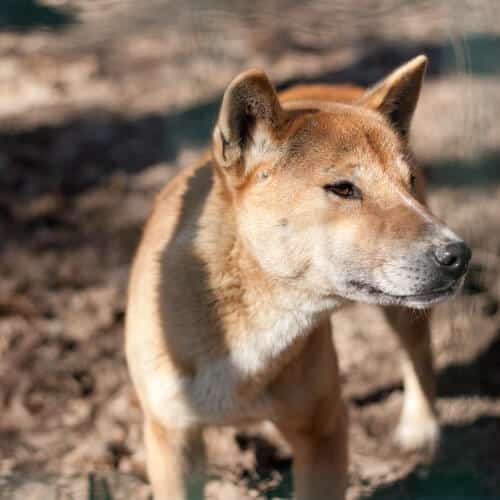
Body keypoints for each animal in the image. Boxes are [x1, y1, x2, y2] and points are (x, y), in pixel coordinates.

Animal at [125, 55, 468, 500]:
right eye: (343, 188)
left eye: (407, 183)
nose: (458, 255)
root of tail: (338, 85)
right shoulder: (172, 438)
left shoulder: (323, 430)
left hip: (404, 313)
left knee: (420, 352)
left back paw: (420, 429)